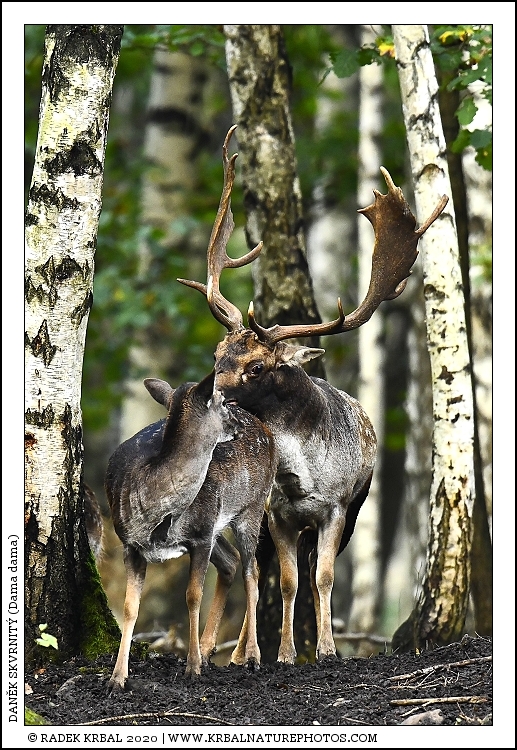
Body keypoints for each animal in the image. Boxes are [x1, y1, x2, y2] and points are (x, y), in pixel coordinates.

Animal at [105, 370, 277, 690]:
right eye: (221, 400)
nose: (238, 422)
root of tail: (264, 426)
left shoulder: (200, 536)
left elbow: (193, 595)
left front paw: (192, 667)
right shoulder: (130, 545)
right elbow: (129, 606)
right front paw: (116, 678)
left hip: (252, 506)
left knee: (252, 571)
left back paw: (250, 656)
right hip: (218, 524)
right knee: (231, 561)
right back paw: (209, 649)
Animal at [179, 125, 448, 664]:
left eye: (257, 366)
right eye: (218, 353)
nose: (206, 396)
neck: (301, 476)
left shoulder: (339, 508)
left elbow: (321, 578)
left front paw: (325, 648)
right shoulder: (278, 514)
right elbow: (285, 581)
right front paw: (283, 653)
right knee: (252, 568)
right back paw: (237, 652)